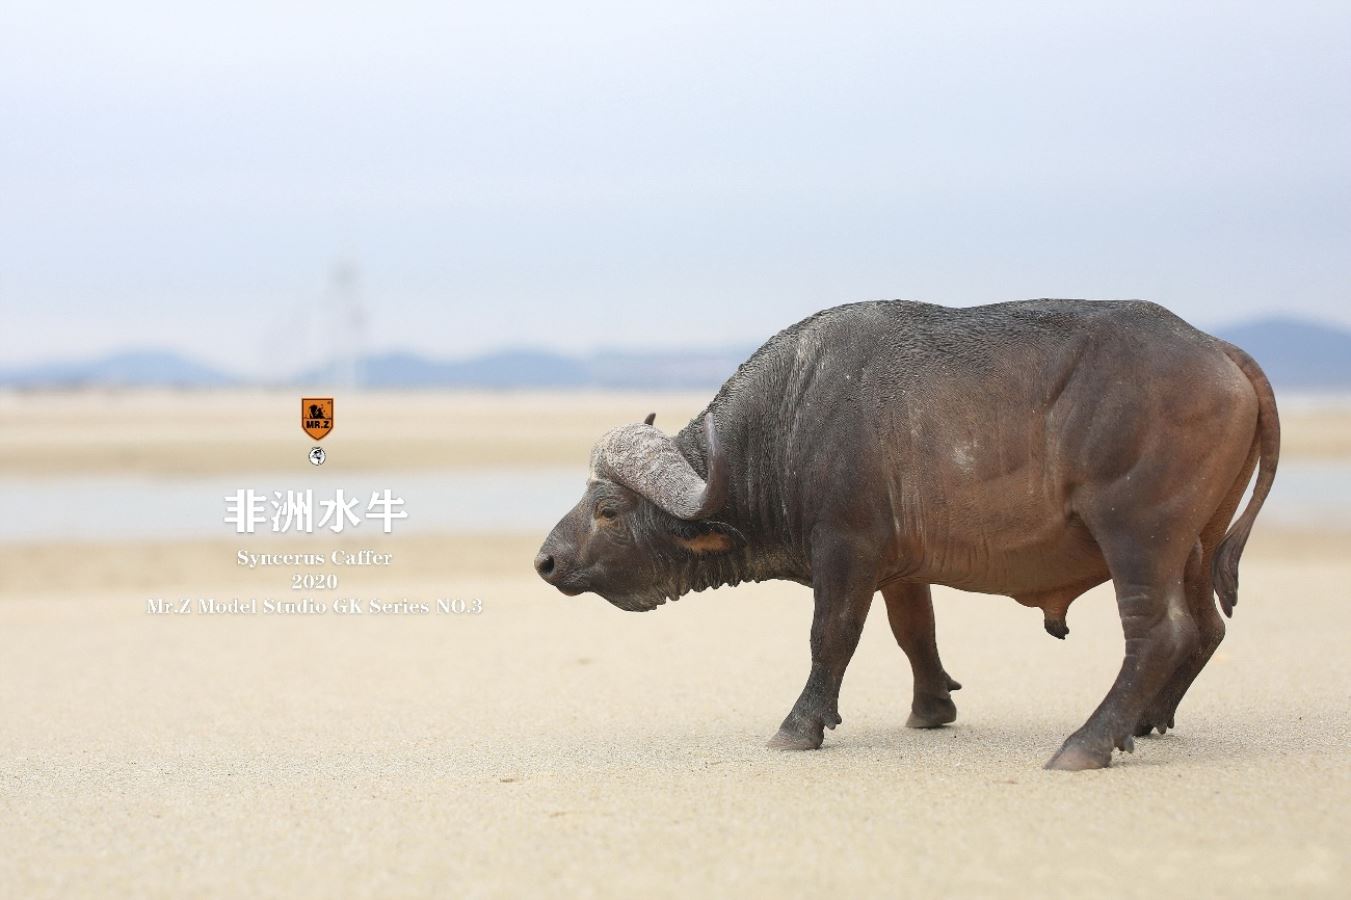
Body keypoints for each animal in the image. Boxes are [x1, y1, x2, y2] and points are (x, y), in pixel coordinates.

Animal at [535, 299, 1278, 770]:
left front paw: (799, 726)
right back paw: (1144, 721)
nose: (545, 561)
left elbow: (831, 637)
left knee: (1158, 635)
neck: (789, 422)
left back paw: (1088, 742)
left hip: (1138, 537)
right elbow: (915, 633)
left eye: (607, 509)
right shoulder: (901, 570)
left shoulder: (846, 550)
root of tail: (1217, 349)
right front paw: (931, 709)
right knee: (1205, 629)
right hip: (1195, 547)